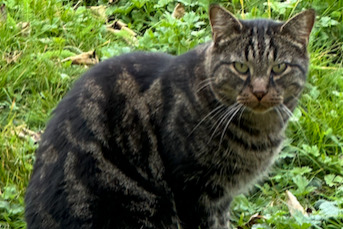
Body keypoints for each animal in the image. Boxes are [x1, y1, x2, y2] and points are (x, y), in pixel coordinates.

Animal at [24, 4, 314, 229]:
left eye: (279, 67)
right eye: (241, 67)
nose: (260, 92)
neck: (259, 130)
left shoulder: (221, 199)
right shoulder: (194, 192)